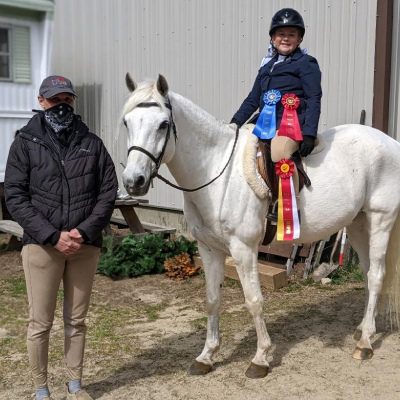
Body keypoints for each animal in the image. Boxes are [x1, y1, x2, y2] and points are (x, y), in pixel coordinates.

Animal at [121, 74, 400, 378]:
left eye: (163, 124)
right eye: (126, 122)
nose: (133, 181)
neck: (217, 173)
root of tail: (390, 142)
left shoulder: (243, 249)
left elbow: (254, 300)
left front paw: (261, 358)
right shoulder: (208, 248)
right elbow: (212, 299)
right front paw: (207, 356)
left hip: (381, 219)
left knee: (377, 275)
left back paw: (365, 343)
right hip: (359, 224)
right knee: (368, 273)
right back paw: (362, 329)